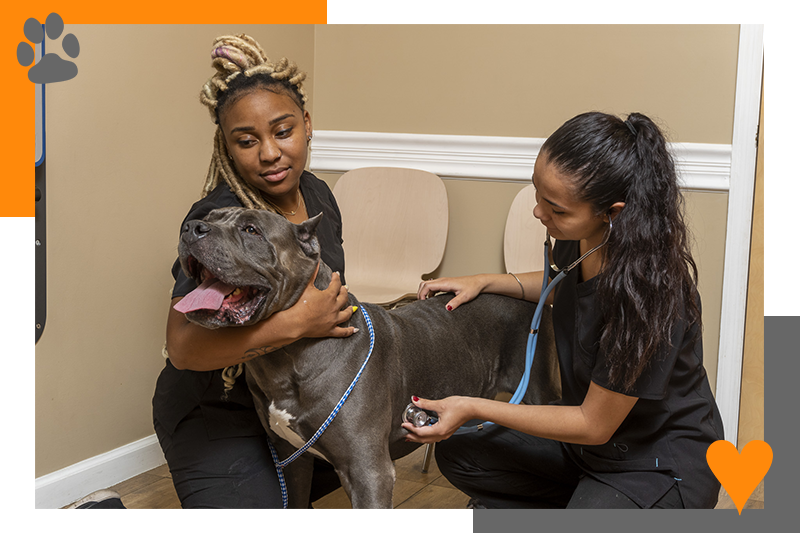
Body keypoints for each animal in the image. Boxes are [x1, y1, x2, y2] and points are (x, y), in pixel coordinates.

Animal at [173, 205, 564, 508]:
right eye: (208, 216)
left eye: (250, 229)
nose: (191, 227)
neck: (286, 359)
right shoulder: (291, 462)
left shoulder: (368, 474)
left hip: (538, 391)